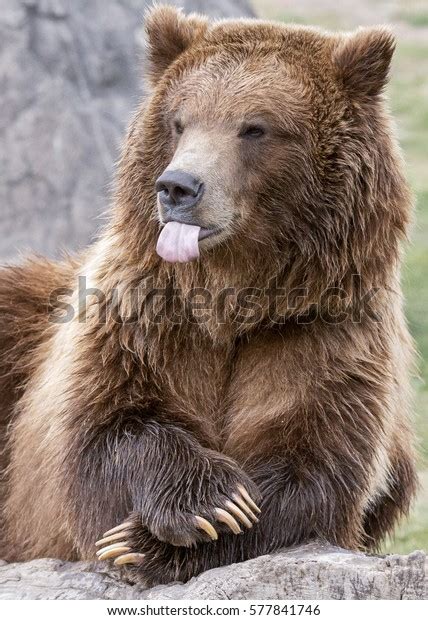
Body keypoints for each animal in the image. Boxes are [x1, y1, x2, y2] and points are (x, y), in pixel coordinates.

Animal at [0, 6, 418, 588]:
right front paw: (207, 503)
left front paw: (152, 542)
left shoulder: (322, 331)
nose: (177, 186)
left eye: (255, 127)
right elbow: (102, 428)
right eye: (180, 120)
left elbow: (313, 467)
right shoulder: (141, 318)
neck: (231, 297)